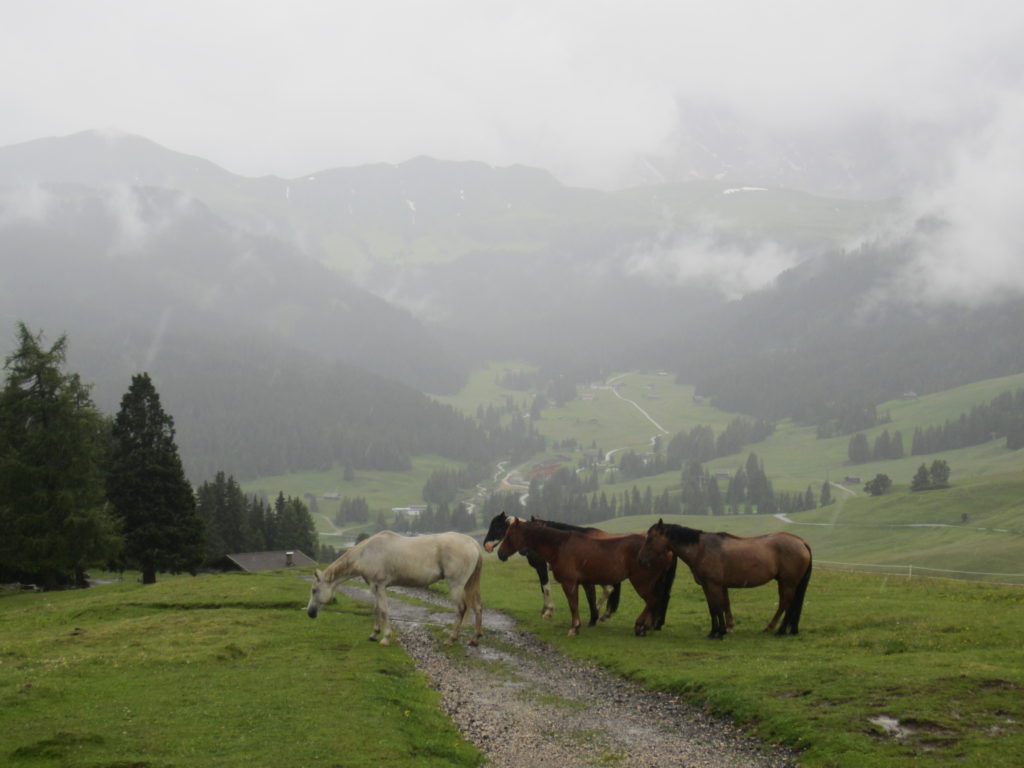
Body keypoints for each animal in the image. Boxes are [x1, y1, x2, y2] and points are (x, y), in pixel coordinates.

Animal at [306, 530, 483, 647]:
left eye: (314, 590)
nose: (310, 613)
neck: (366, 553)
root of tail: (473, 543)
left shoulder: (380, 586)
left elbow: (384, 611)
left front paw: (385, 638)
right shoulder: (374, 587)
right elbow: (377, 609)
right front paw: (374, 634)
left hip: (456, 585)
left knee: (461, 609)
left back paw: (451, 639)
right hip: (469, 585)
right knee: (477, 607)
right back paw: (475, 638)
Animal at [483, 511, 621, 624]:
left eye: (496, 526)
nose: (486, 546)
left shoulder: (541, 567)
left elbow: (546, 588)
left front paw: (548, 611)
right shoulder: (540, 569)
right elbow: (543, 588)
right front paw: (544, 610)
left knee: (608, 588)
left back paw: (597, 613)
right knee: (609, 589)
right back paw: (602, 613)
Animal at [496, 517, 676, 637]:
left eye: (509, 535)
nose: (500, 553)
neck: (560, 545)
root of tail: (665, 549)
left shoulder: (569, 583)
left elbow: (573, 605)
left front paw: (574, 627)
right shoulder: (583, 582)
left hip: (642, 582)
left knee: (652, 600)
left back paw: (641, 625)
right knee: (657, 600)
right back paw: (648, 625)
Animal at [638, 519, 812, 639]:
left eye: (650, 539)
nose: (642, 560)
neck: (701, 549)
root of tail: (801, 542)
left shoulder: (714, 585)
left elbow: (717, 607)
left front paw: (720, 632)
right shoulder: (707, 586)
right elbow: (714, 608)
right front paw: (714, 631)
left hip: (788, 583)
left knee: (786, 604)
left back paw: (779, 630)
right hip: (789, 583)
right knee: (790, 605)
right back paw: (784, 629)